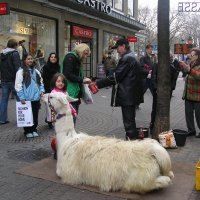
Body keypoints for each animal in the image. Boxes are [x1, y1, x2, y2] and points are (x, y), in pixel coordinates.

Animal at [41, 92, 173, 194]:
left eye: (51, 96)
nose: (42, 95)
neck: (67, 140)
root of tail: (154, 151)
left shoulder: (67, 173)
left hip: (139, 180)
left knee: (159, 182)